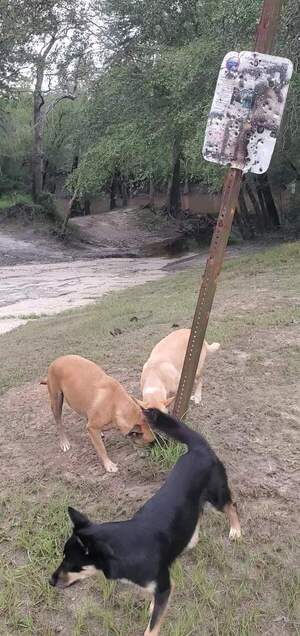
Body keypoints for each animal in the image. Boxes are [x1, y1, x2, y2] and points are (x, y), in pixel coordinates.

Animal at [49, 410, 241, 632]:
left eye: (70, 563)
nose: (50, 581)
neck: (125, 549)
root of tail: (199, 447)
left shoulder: (164, 587)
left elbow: (152, 627)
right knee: (197, 515)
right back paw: (191, 540)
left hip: (217, 497)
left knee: (232, 506)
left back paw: (236, 530)